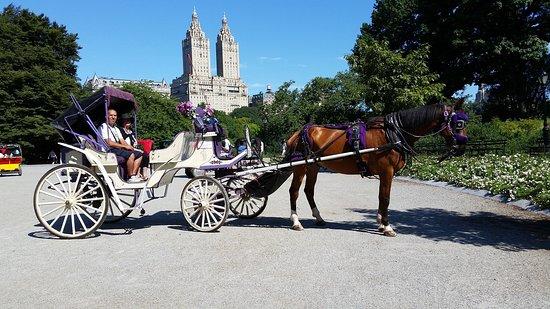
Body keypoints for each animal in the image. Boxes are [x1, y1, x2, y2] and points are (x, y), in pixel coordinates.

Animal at [284, 101, 470, 236]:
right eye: (459, 123)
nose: (462, 148)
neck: (392, 133)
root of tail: (298, 133)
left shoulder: (385, 173)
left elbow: (381, 197)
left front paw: (381, 223)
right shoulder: (387, 171)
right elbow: (386, 198)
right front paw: (387, 227)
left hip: (313, 166)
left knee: (309, 191)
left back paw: (319, 217)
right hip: (301, 167)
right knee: (294, 191)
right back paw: (296, 221)